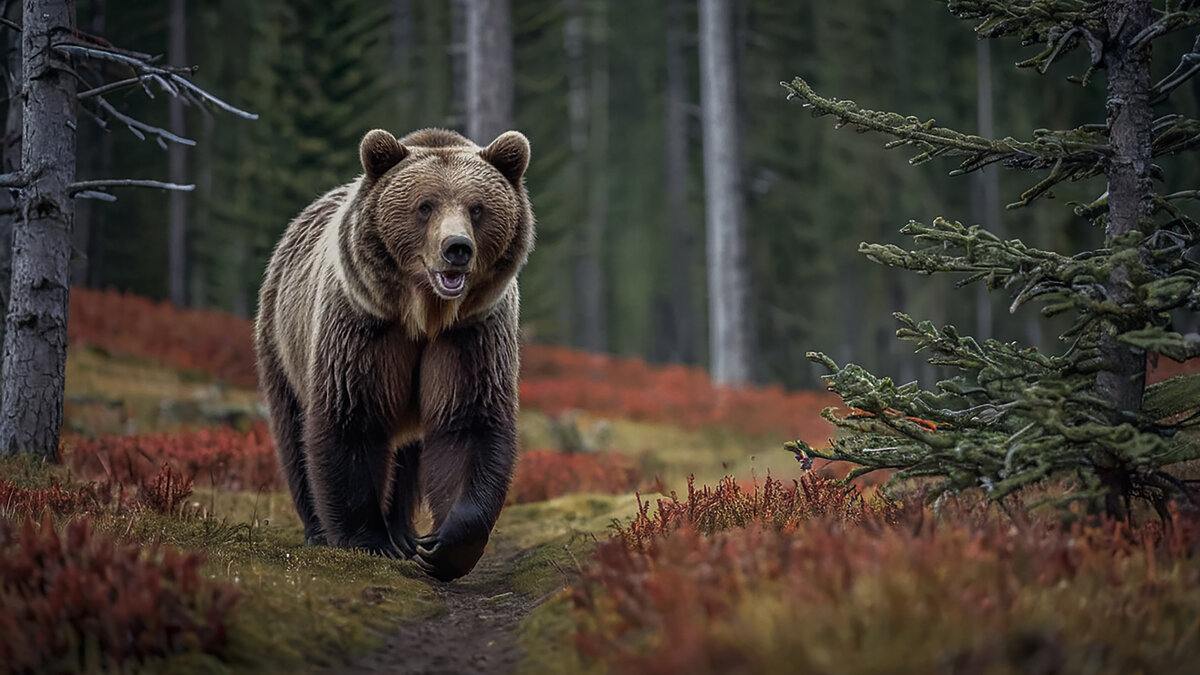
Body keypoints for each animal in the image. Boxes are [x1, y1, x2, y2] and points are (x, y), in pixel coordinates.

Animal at [254, 126, 535, 578]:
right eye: (425, 205)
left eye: (477, 208)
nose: (457, 248)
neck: (424, 315)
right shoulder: (363, 329)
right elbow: (351, 418)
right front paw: (367, 541)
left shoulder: (470, 337)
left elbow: (468, 424)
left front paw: (443, 544)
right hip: (281, 341)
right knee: (293, 435)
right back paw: (319, 529)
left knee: (409, 456)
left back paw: (403, 533)